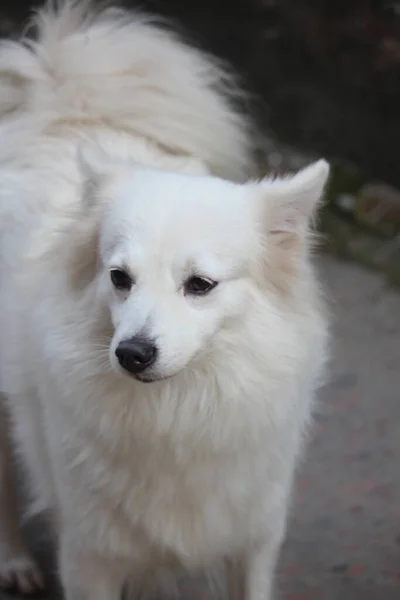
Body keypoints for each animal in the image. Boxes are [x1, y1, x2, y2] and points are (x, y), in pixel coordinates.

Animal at [0, 2, 328, 596]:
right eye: (119, 277)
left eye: (199, 284)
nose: (132, 354)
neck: (178, 414)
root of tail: (61, 108)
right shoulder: (89, 556)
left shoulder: (254, 539)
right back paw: (13, 559)